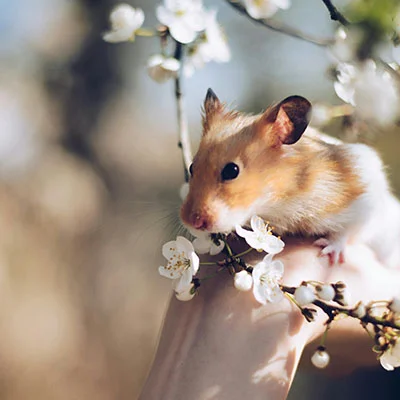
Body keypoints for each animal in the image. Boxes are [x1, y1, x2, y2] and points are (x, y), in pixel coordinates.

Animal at [181, 89, 400, 268]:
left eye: (231, 171)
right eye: (191, 167)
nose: (191, 222)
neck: (278, 200)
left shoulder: (364, 199)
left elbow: (347, 231)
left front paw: (327, 251)